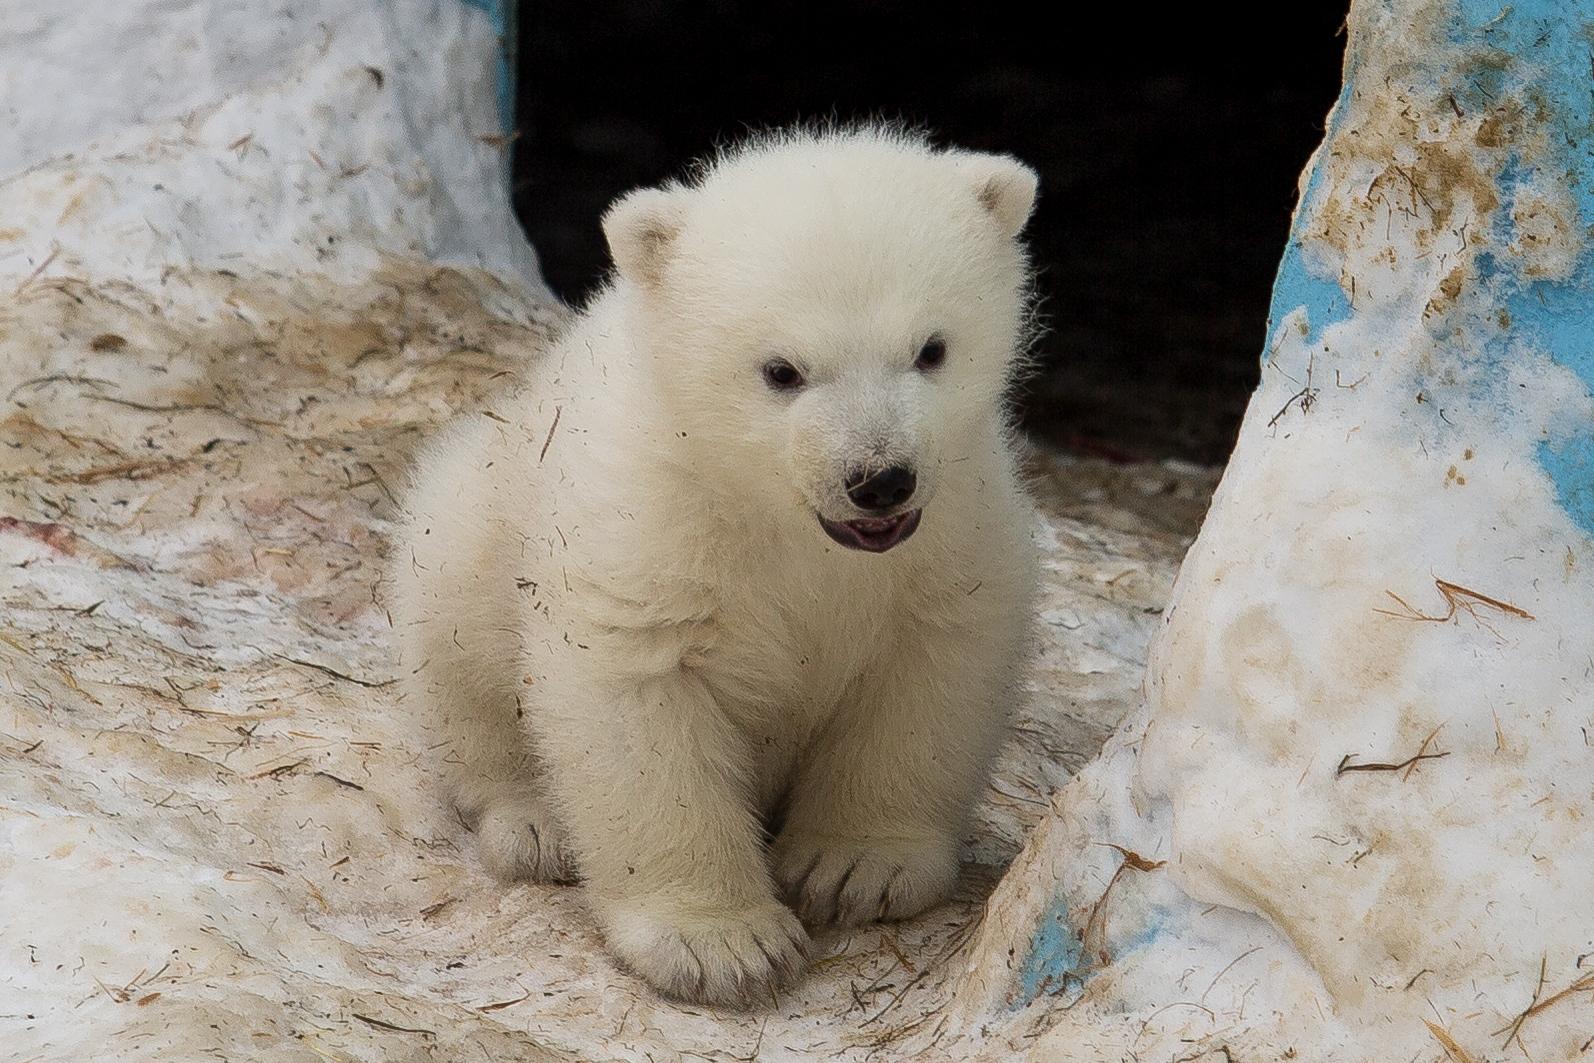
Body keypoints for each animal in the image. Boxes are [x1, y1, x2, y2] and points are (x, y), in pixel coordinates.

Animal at [392, 125, 1045, 1007]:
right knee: (461, 647)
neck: (780, 520)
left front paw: (856, 867)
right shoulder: (649, 529)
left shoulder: (955, 532)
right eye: (782, 369)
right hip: (474, 520)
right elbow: (638, 705)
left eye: (932, 349)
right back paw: (535, 823)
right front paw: (723, 943)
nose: (878, 478)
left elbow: (929, 678)